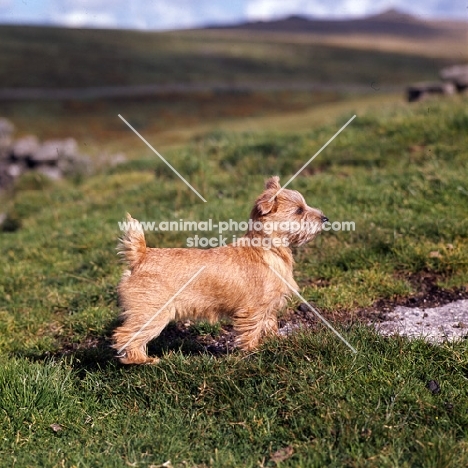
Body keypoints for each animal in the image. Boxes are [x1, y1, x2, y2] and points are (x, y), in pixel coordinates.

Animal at [112, 177, 328, 364]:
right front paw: (254, 351)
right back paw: (143, 360)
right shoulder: (252, 308)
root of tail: (141, 255)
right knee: (125, 335)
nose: (325, 218)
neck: (267, 248)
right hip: (152, 312)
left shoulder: (267, 306)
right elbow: (251, 330)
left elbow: (268, 323)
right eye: (299, 210)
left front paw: (274, 341)